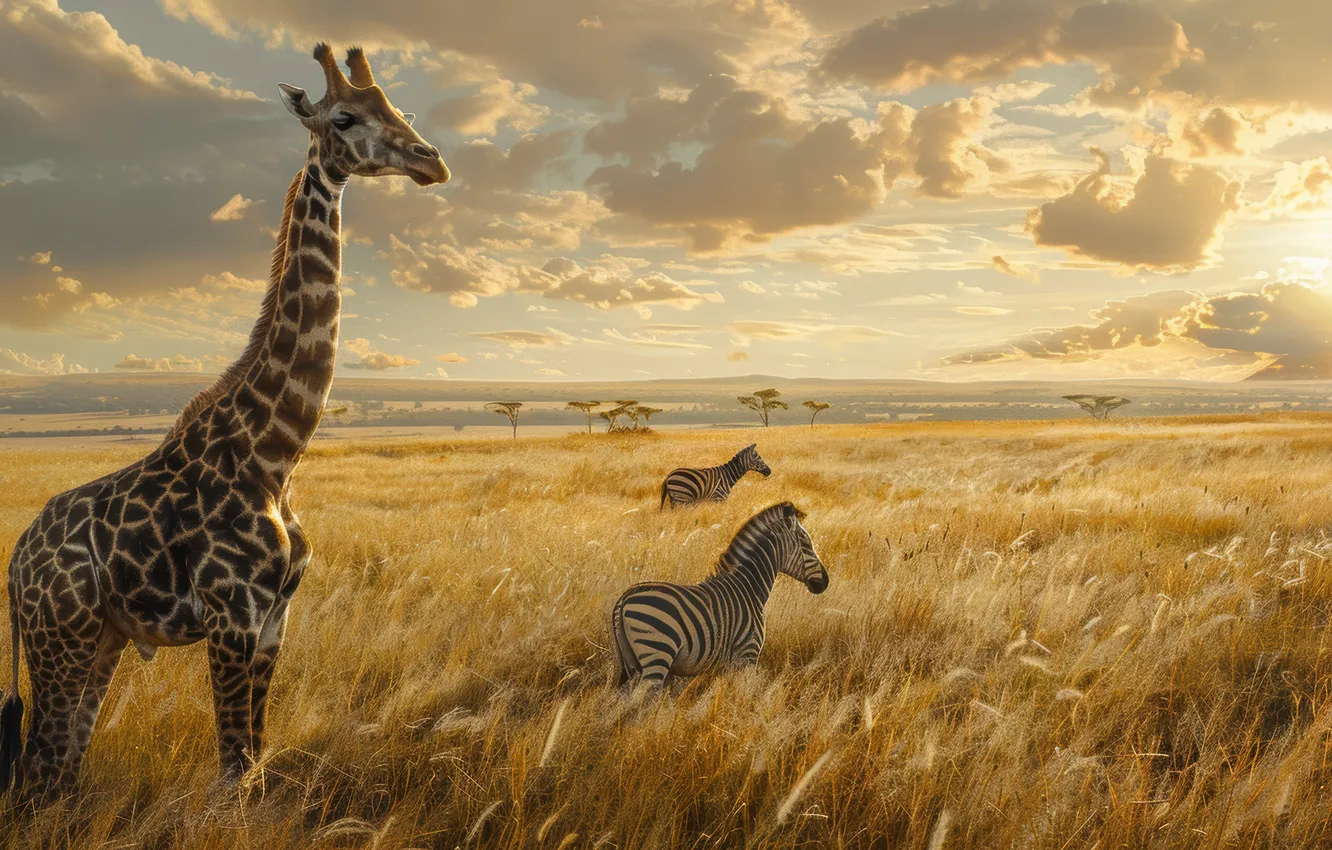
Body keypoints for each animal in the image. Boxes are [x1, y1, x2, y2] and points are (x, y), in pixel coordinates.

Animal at [0, 44, 449, 799]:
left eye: (398, 109)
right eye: (345, 117)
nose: (431, 161)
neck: (275, 456)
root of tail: (14, 564)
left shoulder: (275, 617)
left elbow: (253, 762)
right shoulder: (231, 615)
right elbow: (232, 772)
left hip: (100, 640)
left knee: (61, 767)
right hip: (58, 637)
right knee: (38, 767)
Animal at [611, 501, 828, 688]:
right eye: (807, 545)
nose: (825, 582)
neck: (748, 587)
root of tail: (624, 599)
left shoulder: (727, 665)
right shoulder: (748, 654)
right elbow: (741, 698)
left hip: (631, 663)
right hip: (657, 654)